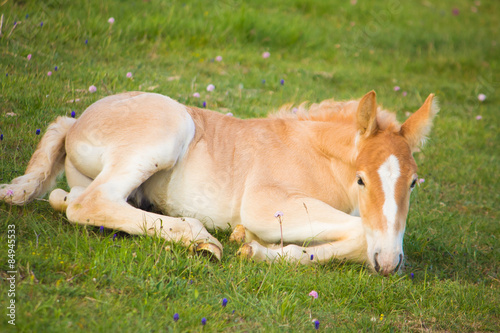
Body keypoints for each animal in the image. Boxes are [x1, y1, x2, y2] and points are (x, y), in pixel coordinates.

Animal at [0, 90, 438, 274]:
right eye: (362, 179)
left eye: (414, 183)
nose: (388, 265)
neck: (313, 152)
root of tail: (76, 122)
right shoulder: (264, 203)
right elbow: (362, 234)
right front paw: (252, 245)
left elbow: (359, 237)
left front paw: (252, 245)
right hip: (169, 128)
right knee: (89, 202)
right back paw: (199, 238)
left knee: (69, 196)